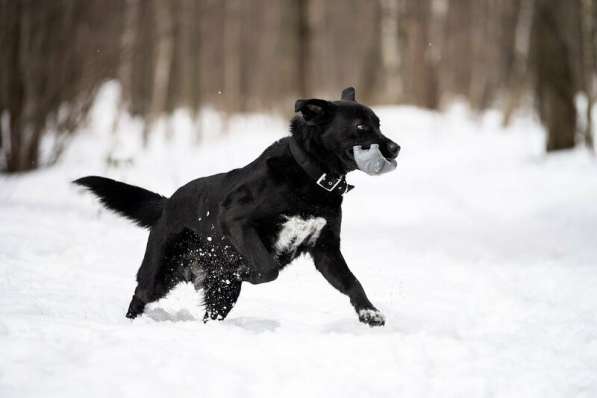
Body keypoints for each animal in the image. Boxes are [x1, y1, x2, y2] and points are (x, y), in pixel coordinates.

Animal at [75, 87, 400, 326]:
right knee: (139, 295)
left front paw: (369, 312)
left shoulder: (326, 249)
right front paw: (248, 272)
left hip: (220, 296)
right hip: (160, 273)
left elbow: (352, 282)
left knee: (210, 313)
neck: (309, 176)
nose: (396, 148)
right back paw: (131, 323)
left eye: (379, 124)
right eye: (361, 126)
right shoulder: (237, 221)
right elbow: (268, 269)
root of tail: (167, 204)